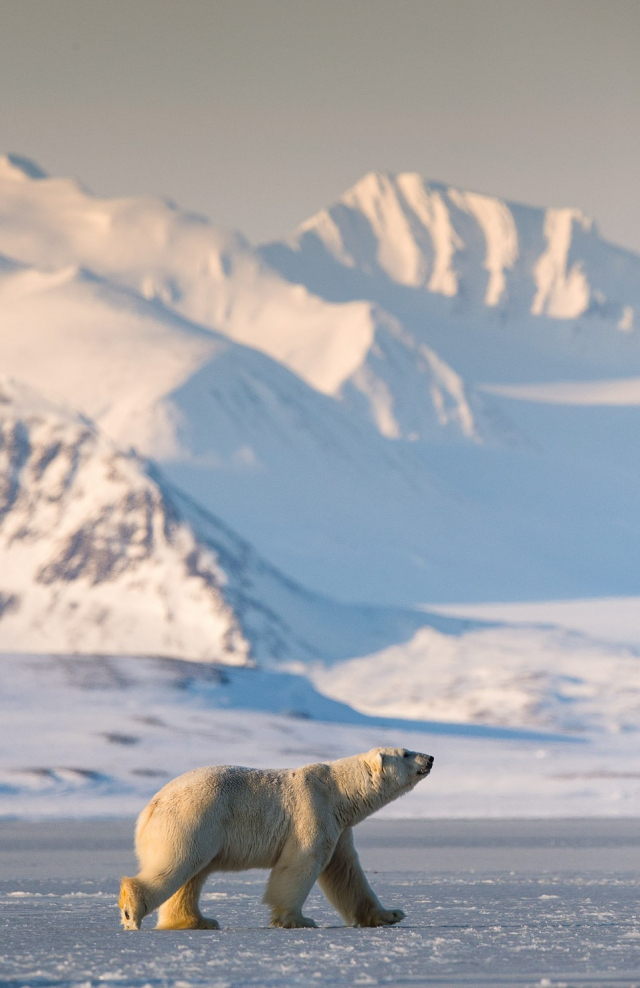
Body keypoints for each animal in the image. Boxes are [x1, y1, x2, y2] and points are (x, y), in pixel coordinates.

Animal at [117, 744, 432, 932]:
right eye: (405, 753)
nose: (429, 757)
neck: (339, 791)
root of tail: (149, 808)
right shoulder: (312, 809)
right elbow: (301, 863)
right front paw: (299, 919)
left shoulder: (340, 826)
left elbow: (346, 872)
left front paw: (390, 914)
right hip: (193, 819)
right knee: (176, 864)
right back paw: (131, 910)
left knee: (190, 876)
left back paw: (197, 921)